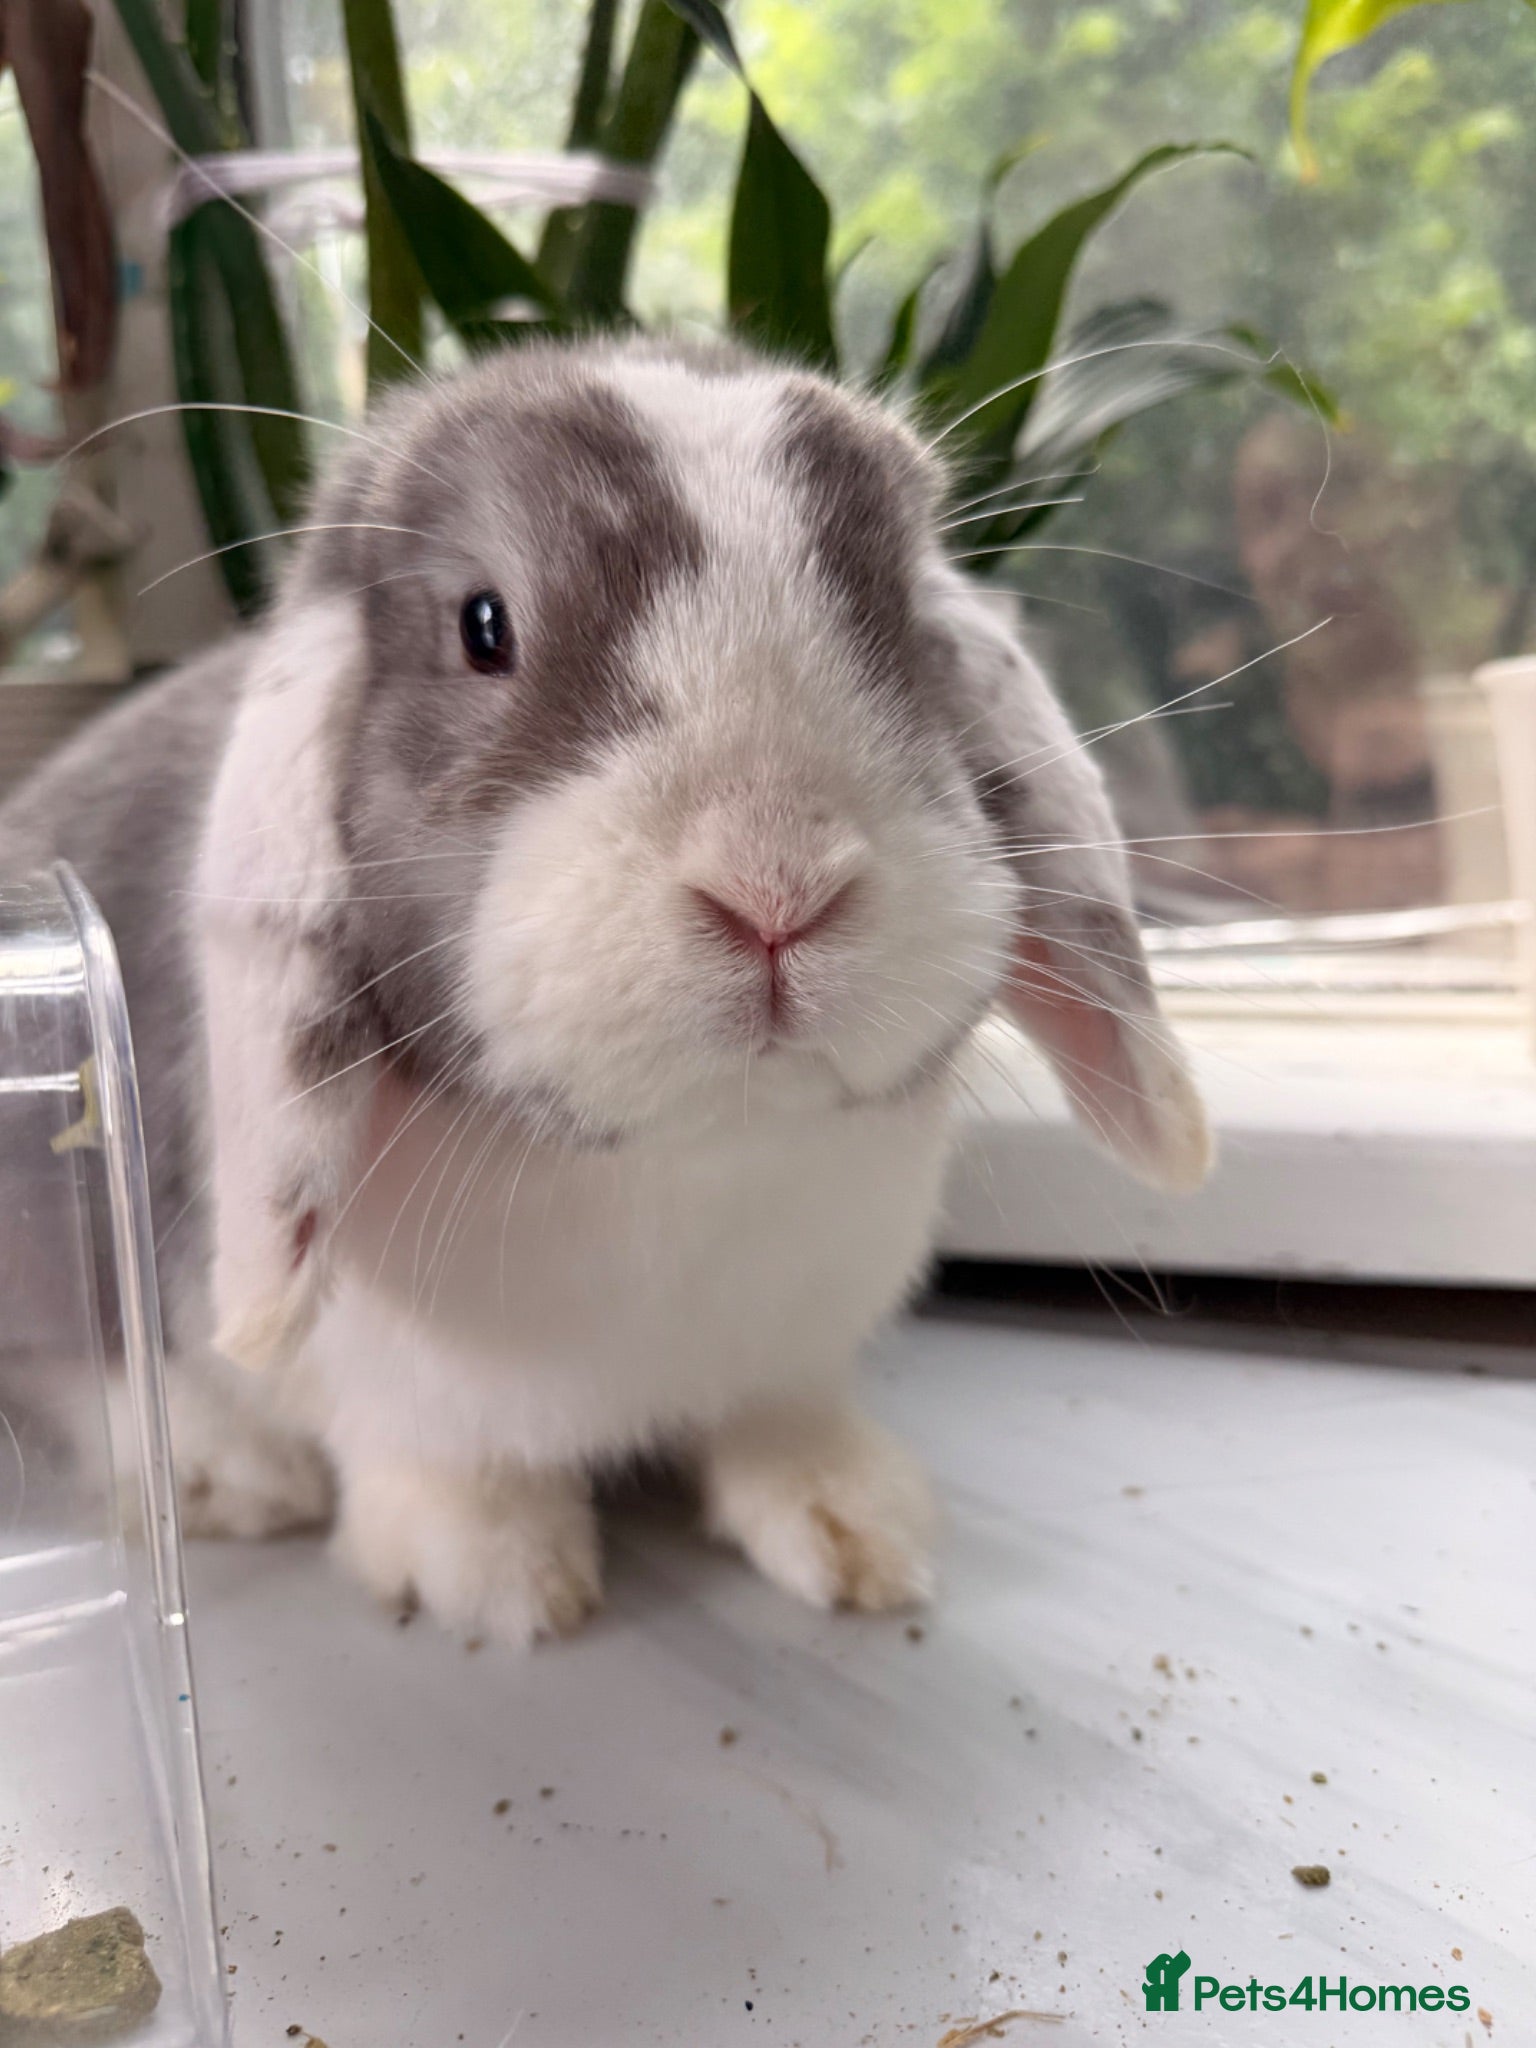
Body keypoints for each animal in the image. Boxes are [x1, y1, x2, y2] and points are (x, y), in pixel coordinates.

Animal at [0, 336, 1209, 1644]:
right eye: (483, 625)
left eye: (908, 626)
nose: (776, 886)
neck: (694, 1158)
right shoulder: (406, 1394)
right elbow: (443, 1466)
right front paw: (502, 1583)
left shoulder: (788, 1355)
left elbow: (782, 1428)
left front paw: (856, 1528)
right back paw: (233, 1474)